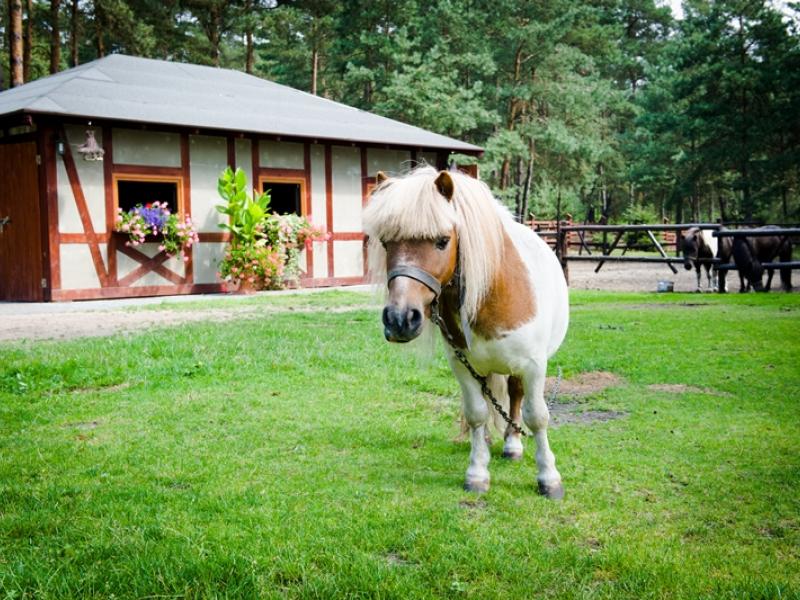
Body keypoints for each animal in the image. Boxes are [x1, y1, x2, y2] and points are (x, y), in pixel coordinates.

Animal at [362, 166, 568, 500]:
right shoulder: (462, 365)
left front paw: (548, 477)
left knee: (515, 395)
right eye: (385, 242)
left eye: (442, 241)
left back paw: (512, 444)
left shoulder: (534, 366)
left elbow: (537, 416)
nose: (399, 319)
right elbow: (476, 413)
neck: (494, 293)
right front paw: (477, 472)